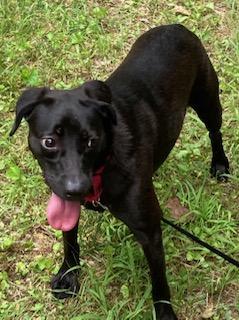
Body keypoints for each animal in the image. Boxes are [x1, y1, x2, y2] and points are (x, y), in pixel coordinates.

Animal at [10, 24, 230, 318]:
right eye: (49, 141)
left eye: (91, 140)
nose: (76, 189)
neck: (105, 166)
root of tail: (176, 26)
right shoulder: (64, 204)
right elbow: (69, 238)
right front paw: (69, 274)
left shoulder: (150, 231)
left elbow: (159, 282)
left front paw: (165, 313)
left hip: (207, 99)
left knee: (215, 131)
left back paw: (220, 163)